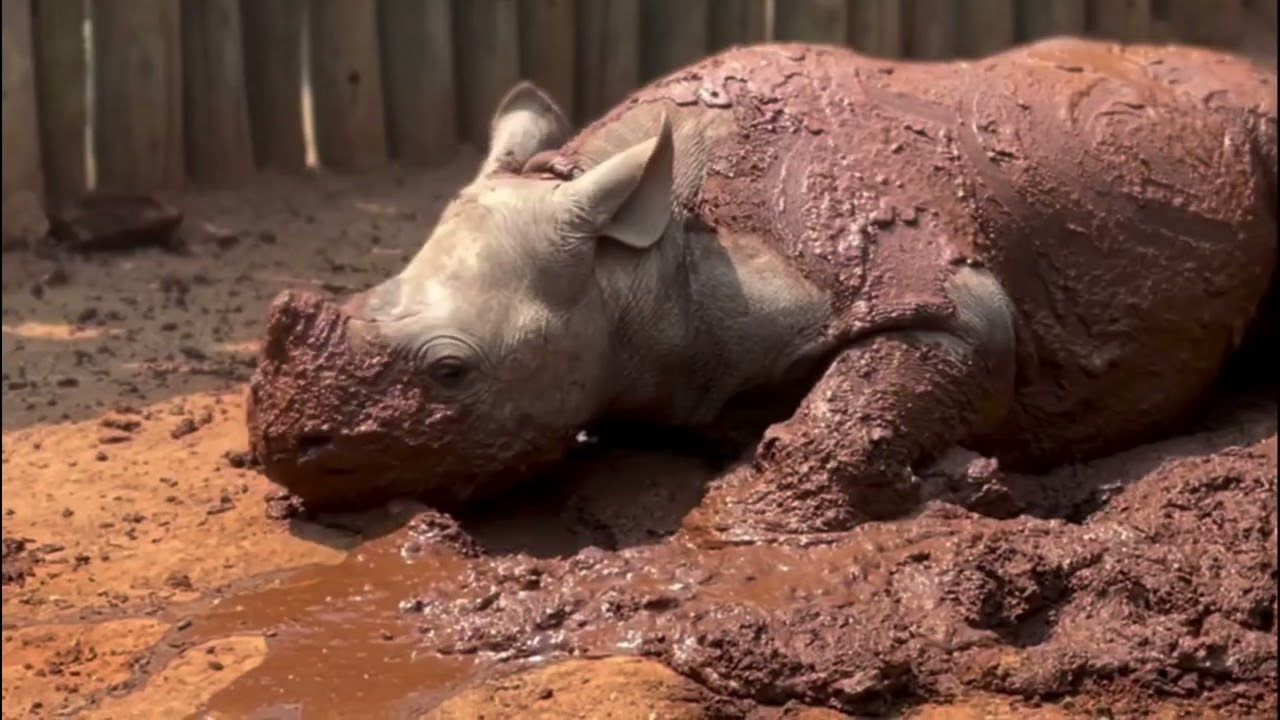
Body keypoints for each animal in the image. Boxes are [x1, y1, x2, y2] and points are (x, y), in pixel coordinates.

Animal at [248, 37, 1276, 534]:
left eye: (452, 372)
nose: (285, 450)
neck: (641, 260)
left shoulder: (932, 291)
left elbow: (882, 383)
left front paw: (739, 524)